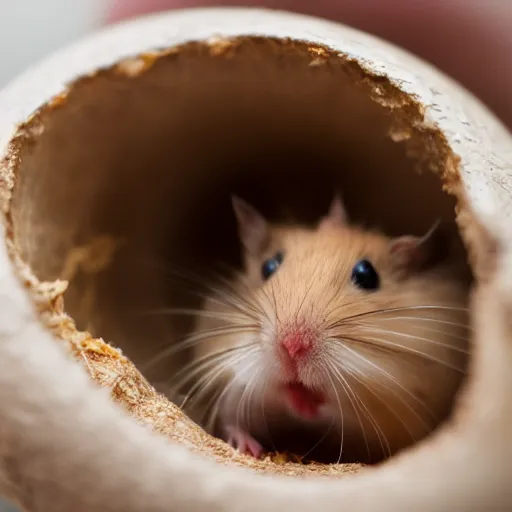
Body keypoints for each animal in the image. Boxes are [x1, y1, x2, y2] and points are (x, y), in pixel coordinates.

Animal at [182, 196, 470, 464]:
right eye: (268, 267)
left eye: (367, 275)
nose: (292, 347)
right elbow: (234, 415)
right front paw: (253, 443)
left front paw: (308, 400)